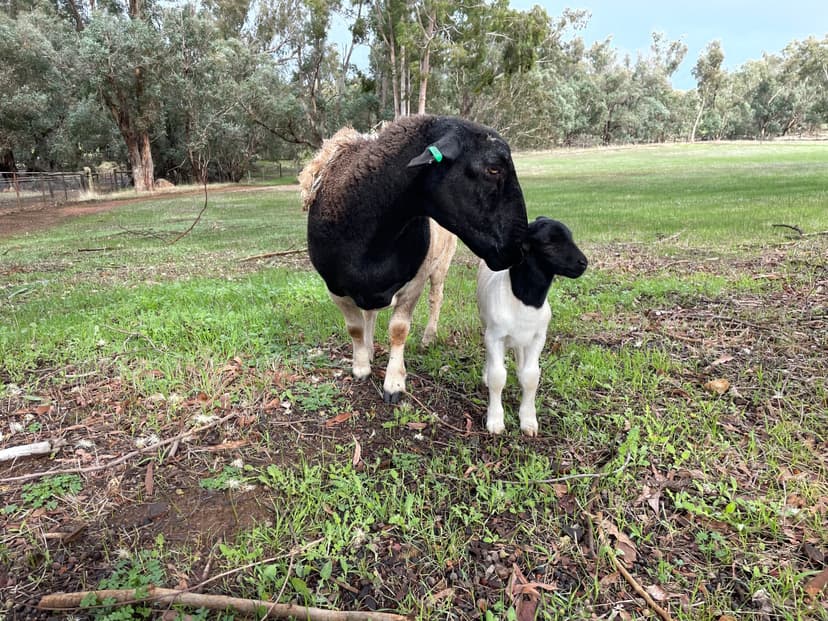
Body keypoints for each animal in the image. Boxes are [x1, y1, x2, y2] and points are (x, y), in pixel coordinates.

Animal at [303, 115, 529, 404]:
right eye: (493, 169)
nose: (519, 248)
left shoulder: (415, 281)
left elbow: (398, 330)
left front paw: (394, 383)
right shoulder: (335, 286)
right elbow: (355, 327)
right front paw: (361, 366)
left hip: (441, 264)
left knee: (436, 298)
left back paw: (428, 337)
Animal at [477, 217, 588, 436]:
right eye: (549, 242)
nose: (583, 263)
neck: (524, 300)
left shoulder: (538, 337)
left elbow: (531, 377)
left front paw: (528, 421)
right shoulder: (495, 336)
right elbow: (497, 377)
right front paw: (495, 421)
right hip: (487, 325)